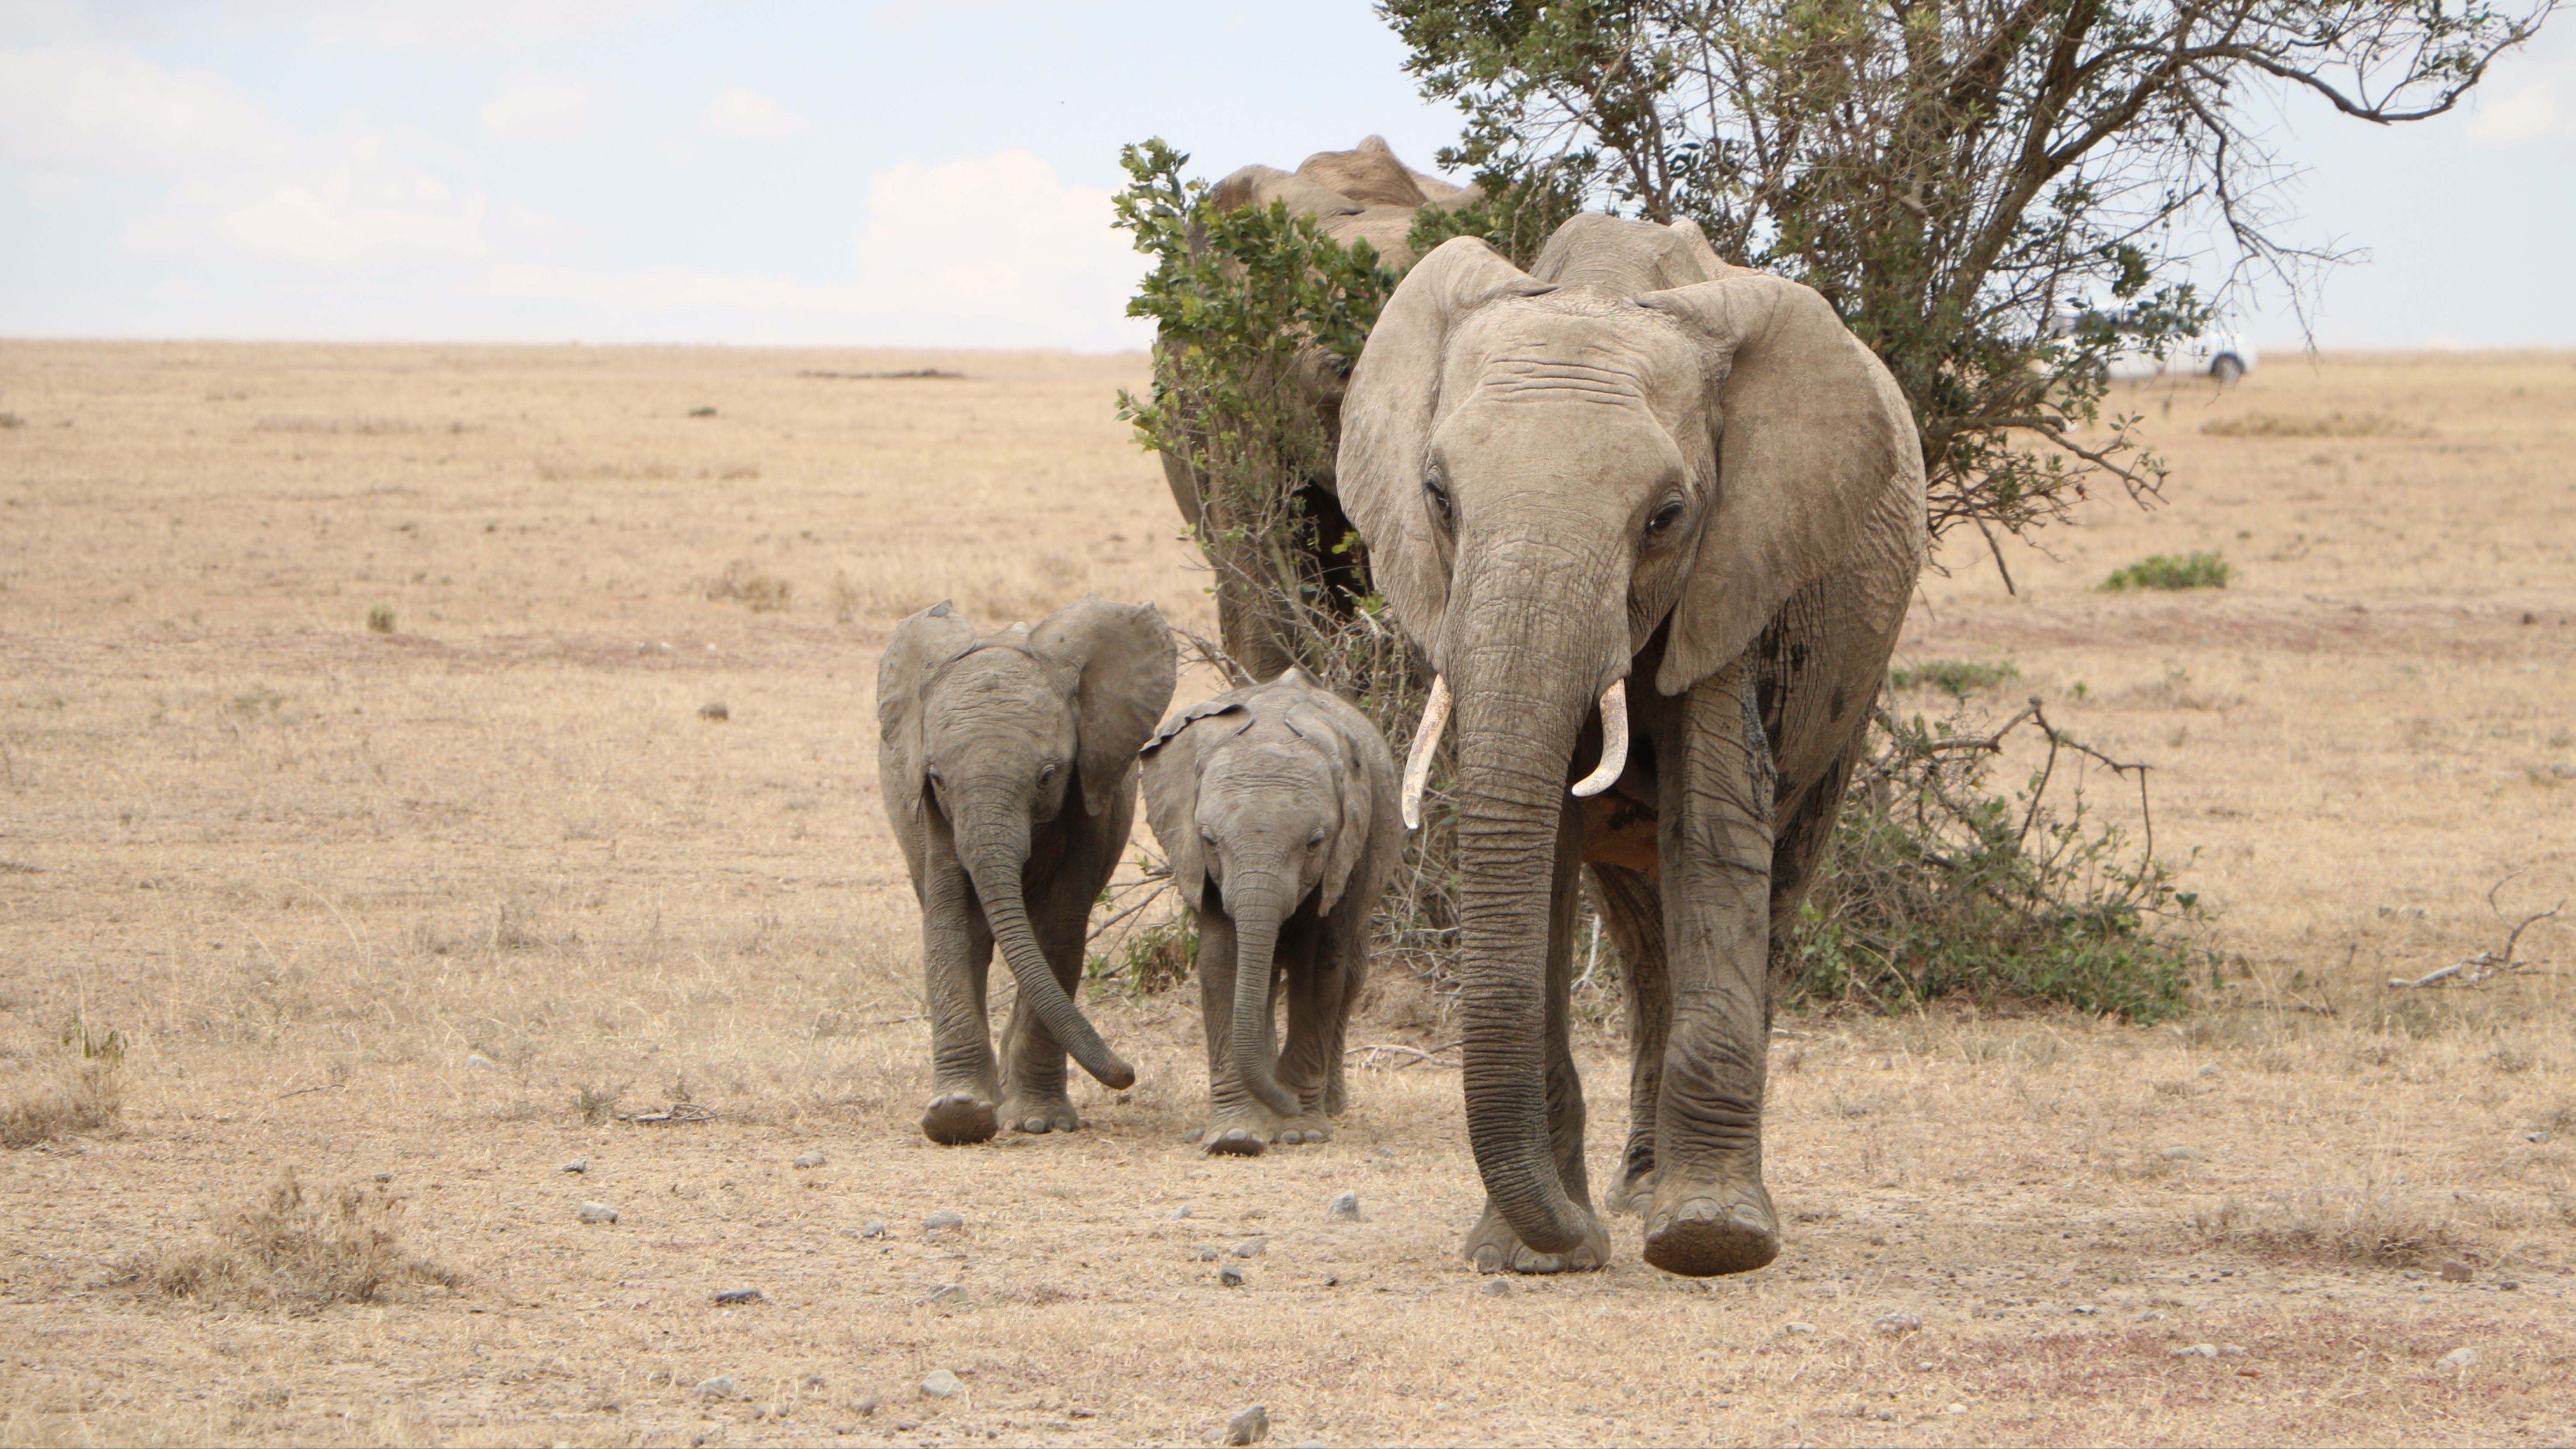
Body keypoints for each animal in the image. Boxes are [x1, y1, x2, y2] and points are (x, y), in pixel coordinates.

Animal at [876, 597, 1180, 1148]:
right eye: (937, 779)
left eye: (1047, 777)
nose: (1128, 1074)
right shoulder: (931, 811)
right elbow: (952, 919)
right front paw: (956, 1117)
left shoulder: (1091, 793)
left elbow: (1058, 927)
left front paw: (1038, 1122)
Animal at [1138, 669, 1401, 1158]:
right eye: (1209, 840)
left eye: (1315, 843)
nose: (1284, 1102)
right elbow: (1224, 964)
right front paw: (1235, 1137)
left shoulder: (1350, 851)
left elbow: (1319, 969)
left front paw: (1298, 1130)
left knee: (1350, 976)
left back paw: (1326, 1106)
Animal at [1340, 215, 1927, 1281]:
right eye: (1437, 496)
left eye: (1665, 517)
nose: (1581, 1241)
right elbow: (1544, 851)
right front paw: (1528, 1255)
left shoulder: (1735, 569)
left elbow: (1714, 822)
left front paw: (1709, 1240)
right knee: (1639, 927)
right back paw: (1635, 1186)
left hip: (1853, 685)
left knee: (1773, 887)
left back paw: (1664, 1198)